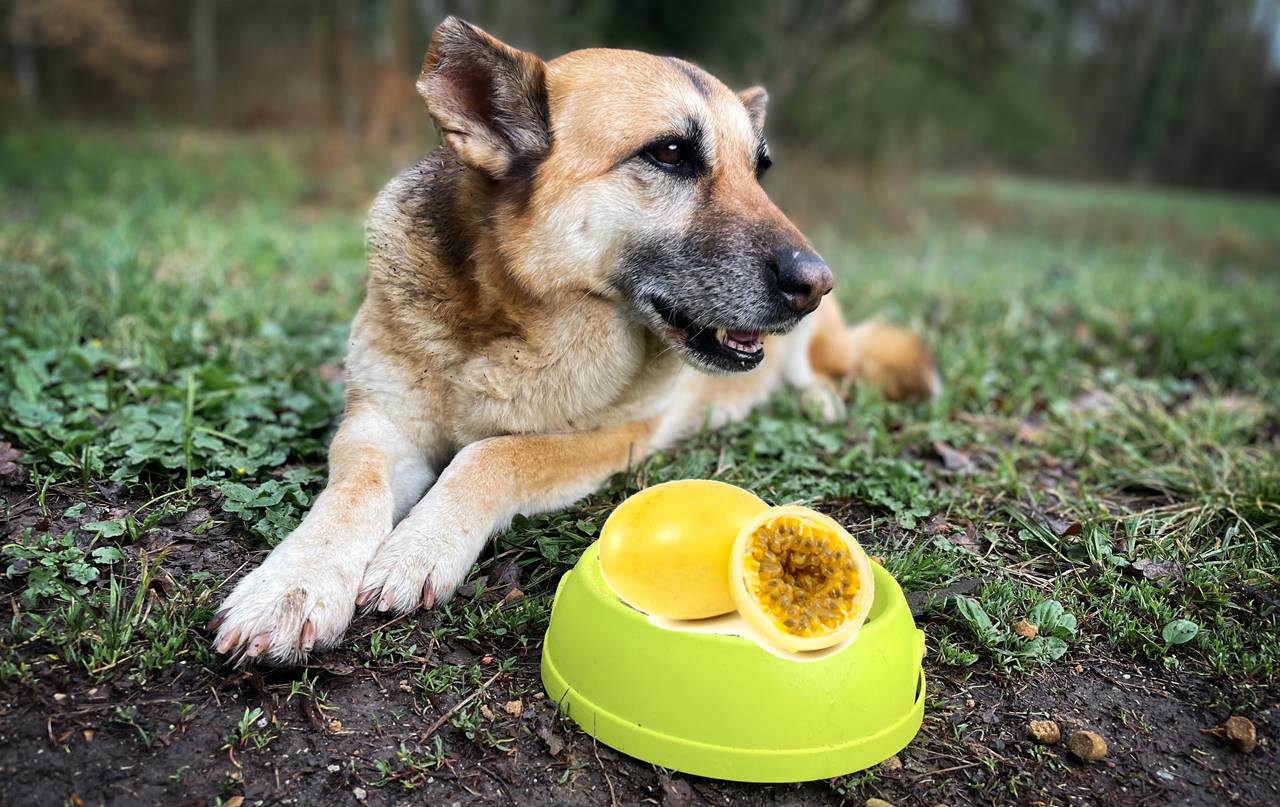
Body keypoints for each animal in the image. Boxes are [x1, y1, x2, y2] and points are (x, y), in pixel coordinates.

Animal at [212, 17, 942, 666]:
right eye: (670, 154)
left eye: (758, 169)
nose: (815, 281)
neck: (509, 324)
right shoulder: (378, 422)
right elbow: (353, 493)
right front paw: (292, 586)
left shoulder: (613, 437)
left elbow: (493, 454)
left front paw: (420, 546)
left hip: (816, 343)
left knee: (820, 370)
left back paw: (821, 402)